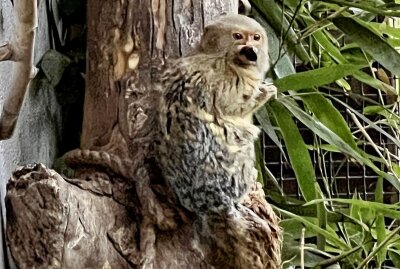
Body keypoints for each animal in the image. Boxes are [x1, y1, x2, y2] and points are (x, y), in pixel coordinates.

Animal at [157, 15, 278, 268]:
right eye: (237, 36)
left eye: (256, 38)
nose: (250, 50)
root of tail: (211, 200)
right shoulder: (227, 79)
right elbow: (235, 108)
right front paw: (264, 93)